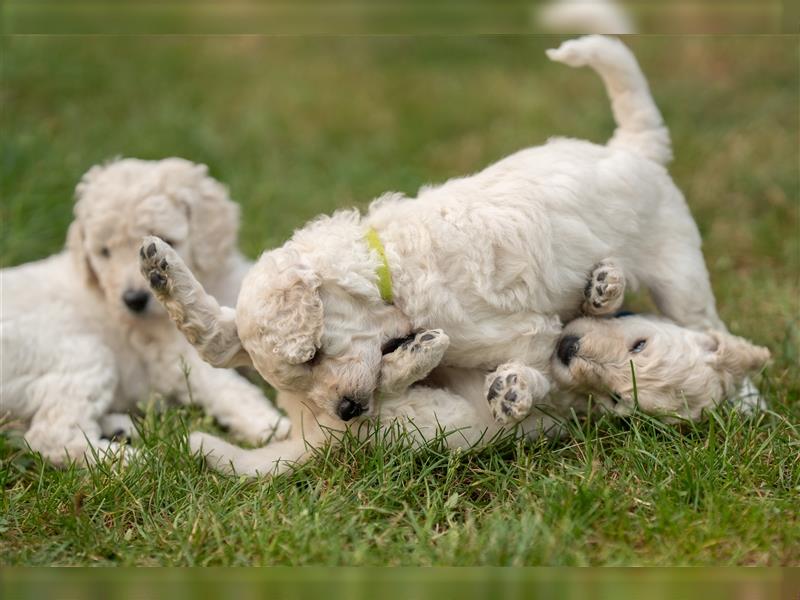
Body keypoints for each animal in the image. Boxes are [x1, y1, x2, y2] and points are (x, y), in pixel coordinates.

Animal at [1, 157, 290, 466]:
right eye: (104, 252)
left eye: (165, 239)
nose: (134, 300)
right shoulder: (176, 354)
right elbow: (229, 387)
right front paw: (272, 427)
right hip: (79, 351)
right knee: (52, 436)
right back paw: (136, 458)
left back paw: (123, 428)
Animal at [139, 35, 736, 426]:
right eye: (302, 370)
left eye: (312, 355)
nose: (345, 411)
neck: (389, 271)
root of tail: (631, 148)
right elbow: (221, 340)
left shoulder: (526, 332)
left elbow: (545, 365)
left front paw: (513, 390)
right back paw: (603, 288)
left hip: (677, 270)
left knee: (704, 326)